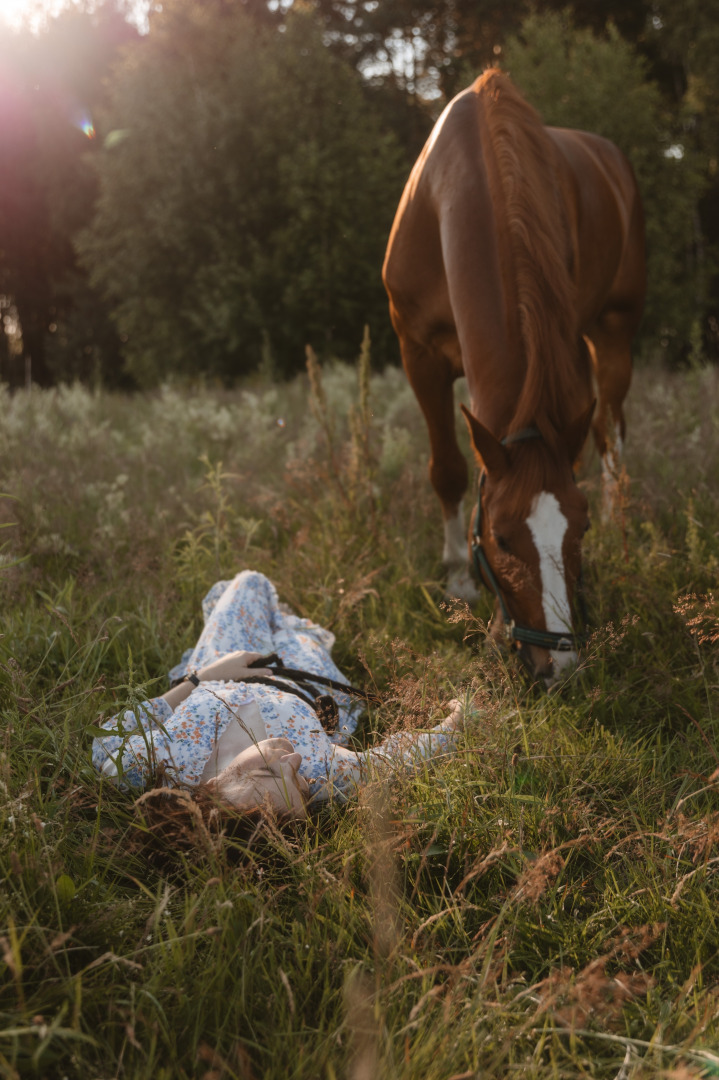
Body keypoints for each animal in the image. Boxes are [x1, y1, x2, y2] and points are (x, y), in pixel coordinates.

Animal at [380, 69, 643, 682]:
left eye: (581, 529)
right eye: (499, 537)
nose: (559, 665)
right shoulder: (418, 355)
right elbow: (449, 470)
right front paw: (459, 580)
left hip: (614, 330)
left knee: (611, 433)